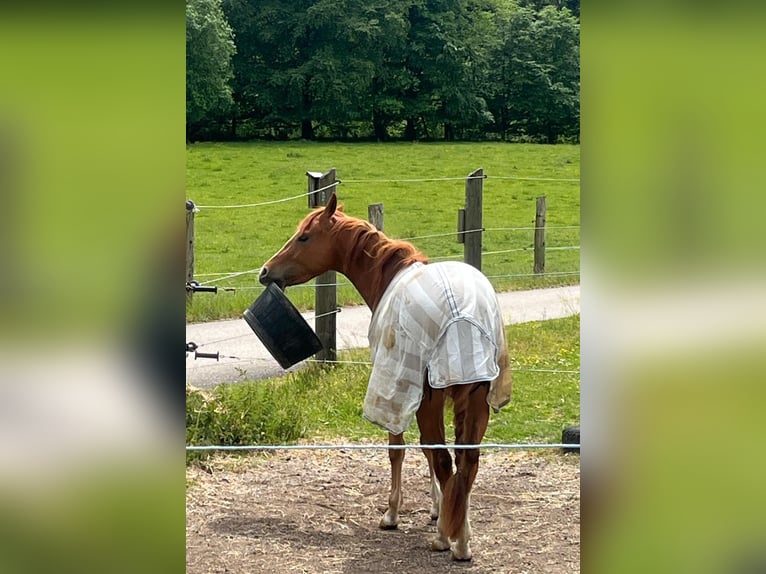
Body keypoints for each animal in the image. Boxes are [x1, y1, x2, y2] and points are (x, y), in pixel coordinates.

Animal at [259, 193, 512, 561]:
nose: (265, 271)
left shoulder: (396, 390)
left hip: (426, 397)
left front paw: (393, 515)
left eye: (304, 237)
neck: (390, 276)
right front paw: (438, 509)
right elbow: (428, 454)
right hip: (475, 400)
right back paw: (461, 540)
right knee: (467, 463)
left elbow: (399, 450)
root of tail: (460, 316)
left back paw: (445, 539)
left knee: (444, 459)